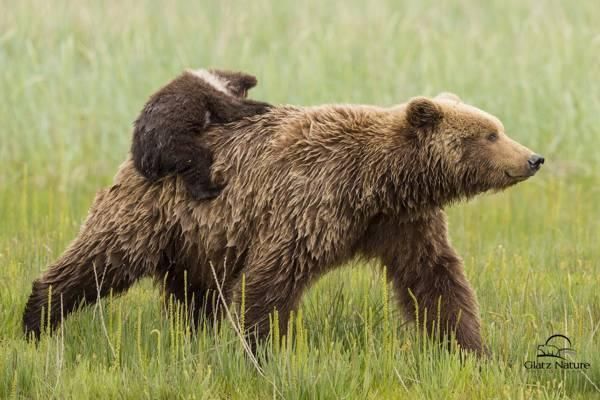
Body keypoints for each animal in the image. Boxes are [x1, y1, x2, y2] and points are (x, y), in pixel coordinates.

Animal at [22, 94, 544, 356]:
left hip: (202, 238)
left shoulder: (400, 224)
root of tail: (142, 148)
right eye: (489, 134)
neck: (379, 183)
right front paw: (260, 350)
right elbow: (273, 280)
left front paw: (470, 348)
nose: (533, 158)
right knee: (100, 260)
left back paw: (195, 335)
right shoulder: (311, 204)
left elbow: (435, 280)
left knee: (197, 294)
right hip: (154, 212)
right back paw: (37, 319)